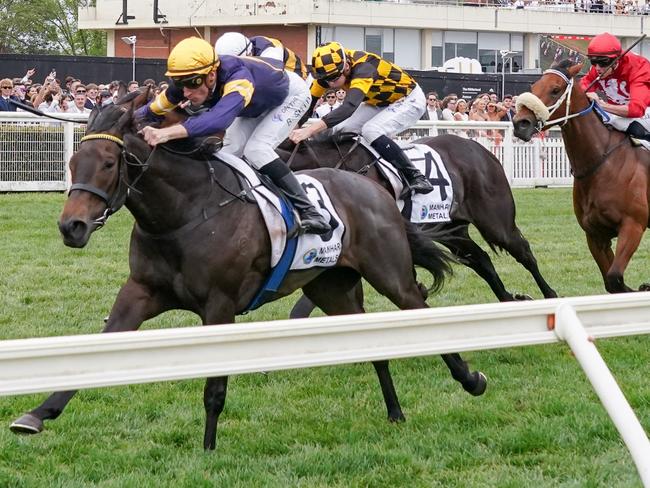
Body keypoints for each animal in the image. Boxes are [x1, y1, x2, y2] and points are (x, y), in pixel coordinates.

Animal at [11, 91, 486, 450]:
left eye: (109, 163)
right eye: (73, 163)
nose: (71, 227)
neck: (185, 214)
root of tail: (374, 186)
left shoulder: (219, 306)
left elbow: (215, 387)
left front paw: (207, 450)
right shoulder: (140, 292)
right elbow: (95, 351)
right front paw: (36, 414)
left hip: (389, 274)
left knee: (418, 306)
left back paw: (471, 380)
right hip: (332, 287)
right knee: (373, 347)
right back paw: (395, 412)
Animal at [276, 132, 556, 316]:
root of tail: (481, 149)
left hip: (495, 222)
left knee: (523, 251)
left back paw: (549, 295)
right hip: (452, 229)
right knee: (482, 260)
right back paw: (508, 299)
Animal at [512, 59, 648, 292]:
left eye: (555, 89)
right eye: (533, 86)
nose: (520, 123)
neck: (602, 163)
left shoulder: (633, 226)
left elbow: (615, 277)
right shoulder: (595, 234)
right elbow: (612, 282)